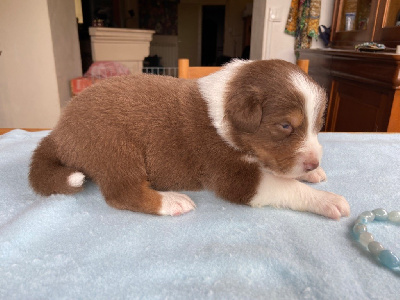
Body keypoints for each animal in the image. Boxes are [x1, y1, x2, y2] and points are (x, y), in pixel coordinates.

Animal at [28, 60, 350, 220]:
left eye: (318, 125)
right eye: (285, 126)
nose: (313, 163)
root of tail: (58, 131)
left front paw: (316, 174)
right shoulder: (232, 175)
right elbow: (286, 186)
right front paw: (329, 200)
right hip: (115, 146)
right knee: (123, 193)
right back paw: (172, 202)